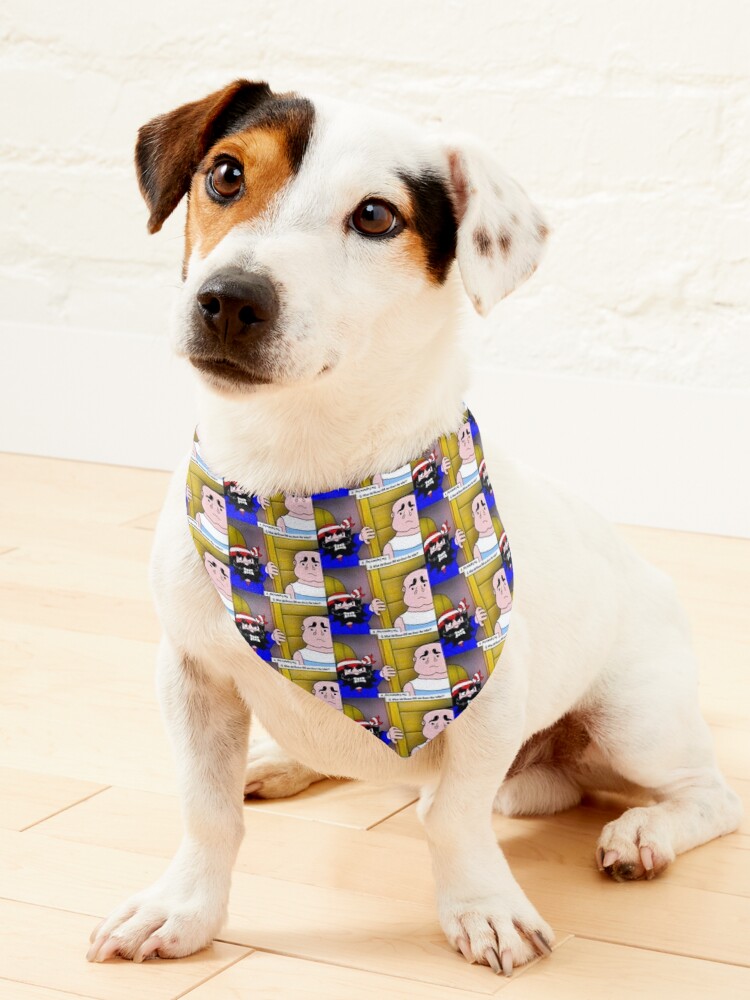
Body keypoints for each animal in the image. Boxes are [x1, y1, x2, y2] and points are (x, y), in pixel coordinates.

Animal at [85, 80, 744, 976]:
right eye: (225, 174)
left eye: (375, 216)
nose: (230, 298)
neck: (302, 476)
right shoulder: (191, 677)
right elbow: (207, 811)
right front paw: (183, 909)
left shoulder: (489, 702)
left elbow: (454, 817)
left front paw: (483, 908)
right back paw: (282, 762)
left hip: (635, 719)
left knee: (708, 796)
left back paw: (644, 833)